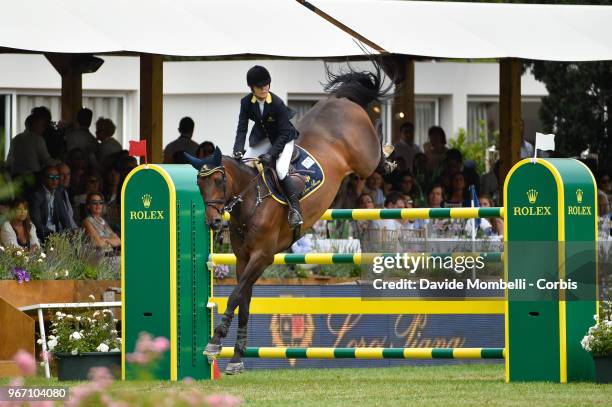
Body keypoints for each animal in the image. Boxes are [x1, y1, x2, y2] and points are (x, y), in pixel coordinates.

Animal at [184, 63, 392, 372]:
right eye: (199, 185)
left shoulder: (262, 256)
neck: (250, 200)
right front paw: (236, 357)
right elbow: (244, 301)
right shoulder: (244, 259)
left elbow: (235, 296)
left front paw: (214, 342)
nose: (214, 223)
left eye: (219, 181)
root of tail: (338, 100)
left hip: (364, 160)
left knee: (375, 153)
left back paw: (388, 152)